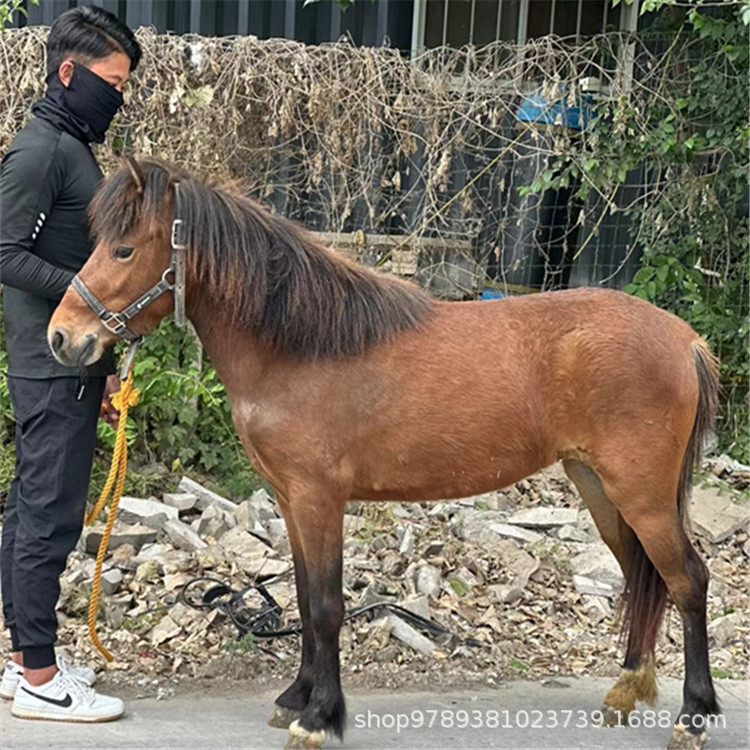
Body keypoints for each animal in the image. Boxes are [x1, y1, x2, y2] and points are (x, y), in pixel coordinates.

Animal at [49, 157, 720, 750]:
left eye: (124, 250)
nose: (62, 337)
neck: (302, 346)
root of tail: (685, 339)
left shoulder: (320, 498)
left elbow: (325, 606)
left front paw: (318, 718)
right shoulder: (291, 501)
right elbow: (303, 596)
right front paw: (296, 697)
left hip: (641, 495)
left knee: (687, 580)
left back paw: (693, 718)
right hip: (600, 488)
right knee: (642, 574)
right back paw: (627, 690)